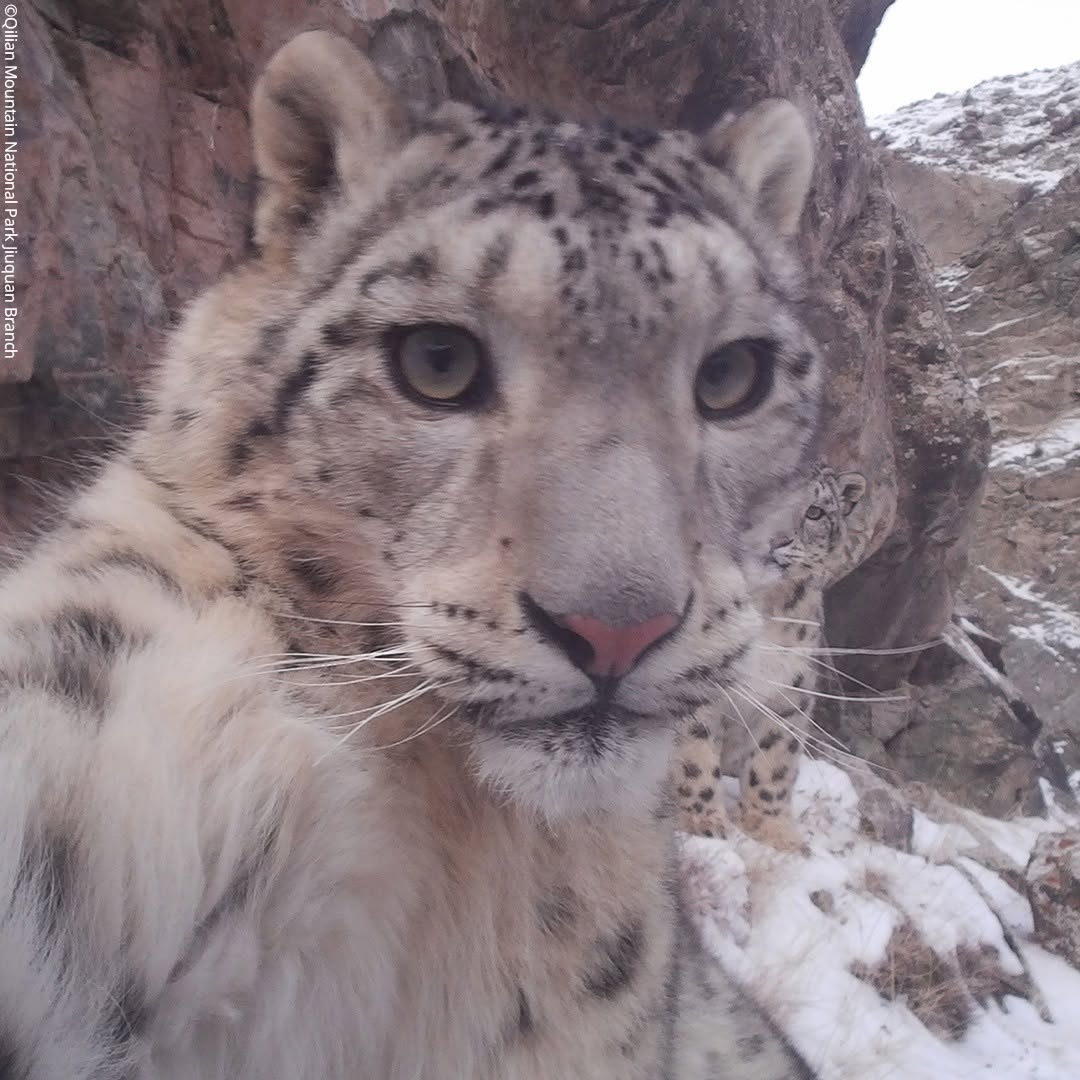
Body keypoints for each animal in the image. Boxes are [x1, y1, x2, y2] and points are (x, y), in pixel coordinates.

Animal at [673, 463, 869, 851]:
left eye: (816, 512)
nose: (778, 539)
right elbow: (696, 753)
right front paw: (703, 821)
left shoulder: (789, 693)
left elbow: (774, 764)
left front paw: (775, 834)